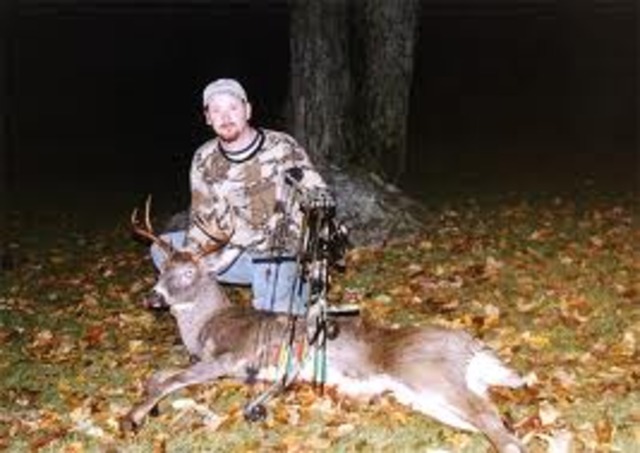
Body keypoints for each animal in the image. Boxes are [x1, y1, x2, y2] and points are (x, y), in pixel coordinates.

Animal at [122, 198, 527, 453]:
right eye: (162, 270)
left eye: (188, 273)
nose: (153, 297)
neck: (207, 324)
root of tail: (471, 344)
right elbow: (158, 375)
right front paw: (148, 410)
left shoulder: (230, 359)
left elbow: (170, 380)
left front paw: (133, 417)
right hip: (425, 396)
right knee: (497, 422)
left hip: (429, 374)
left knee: (496, 428)